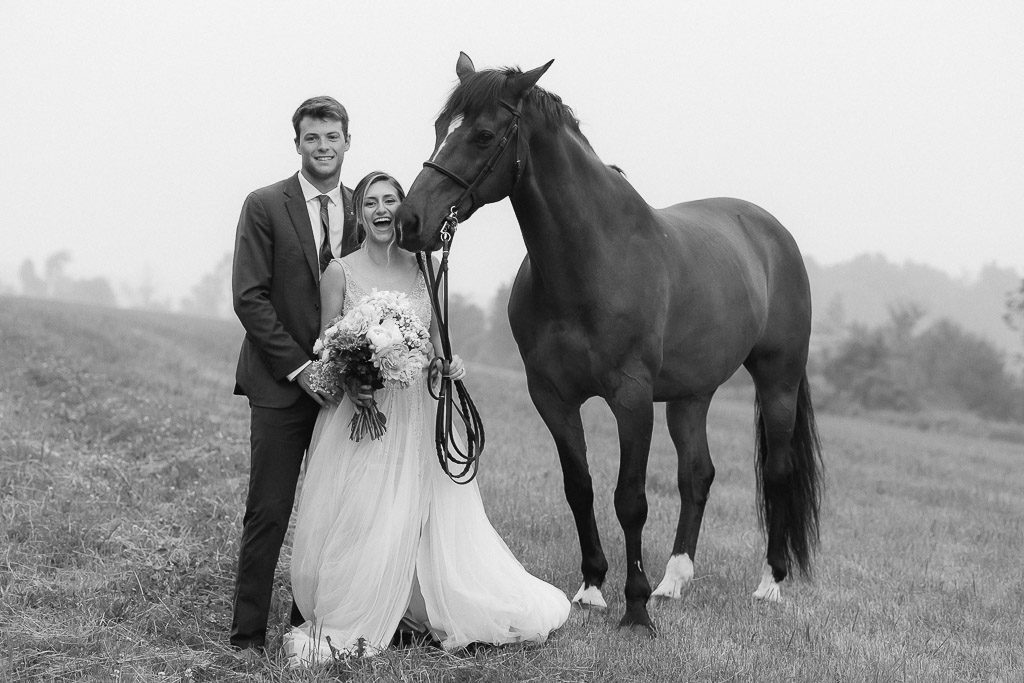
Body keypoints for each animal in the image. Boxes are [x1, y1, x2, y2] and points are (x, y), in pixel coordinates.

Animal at [393, 54, 823, 634]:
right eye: (441, 128)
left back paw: (769, 584)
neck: (593, 259)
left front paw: (635, 608)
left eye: (482, 135)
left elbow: (631, 499)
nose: (409, 221)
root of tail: (772, 233)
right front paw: (593, 588)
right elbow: (580, 487)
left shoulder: (631, 398)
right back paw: (674, 582)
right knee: (697, 476)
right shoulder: (551, 397)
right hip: (691, 395)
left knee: (777, 472)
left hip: (777, 381)